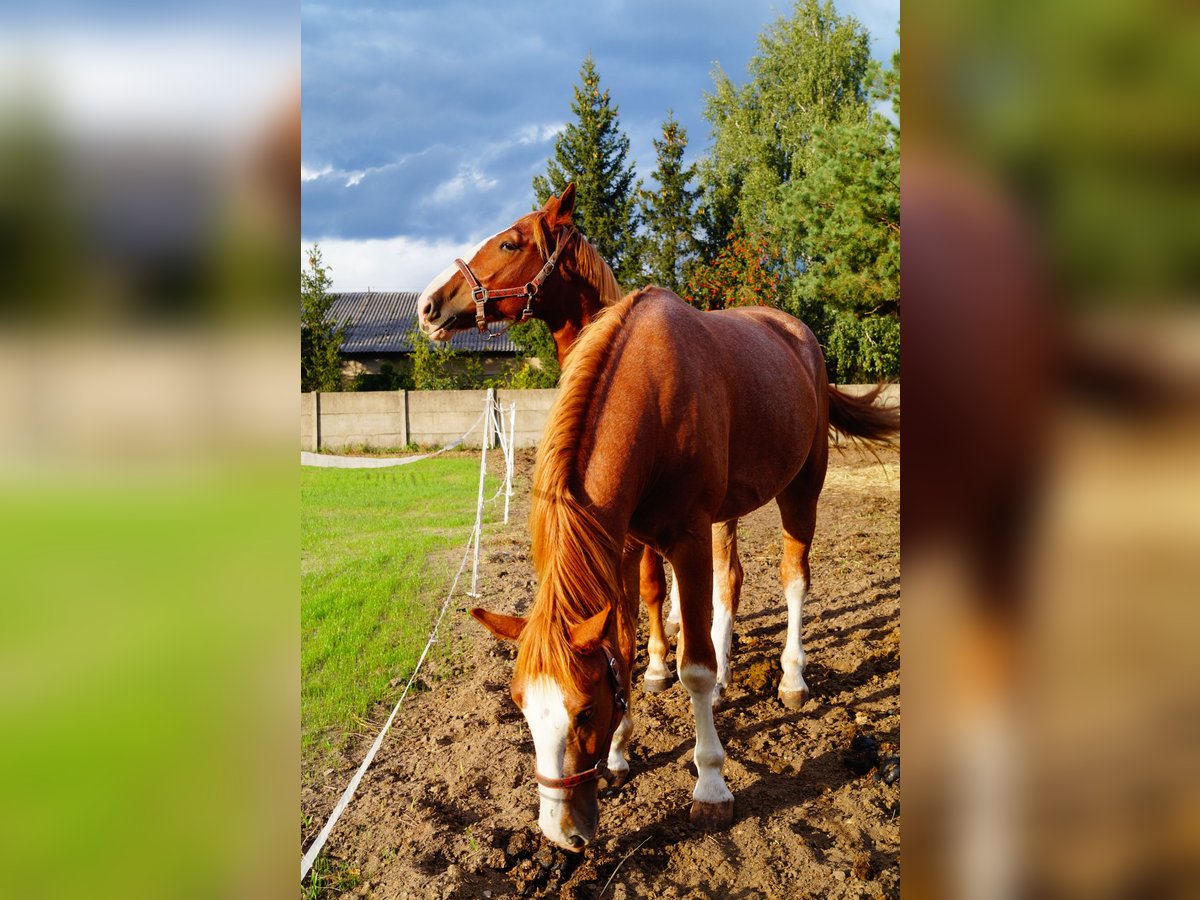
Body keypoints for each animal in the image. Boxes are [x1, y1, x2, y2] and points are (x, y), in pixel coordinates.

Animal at [468, 290, 902, 854]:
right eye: (520, 705)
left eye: (584, 711)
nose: (563, 833)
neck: (651, 394)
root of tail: (801, 338)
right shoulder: (627, 547)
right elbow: (624, 649)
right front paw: (620, 753)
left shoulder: (689, 539)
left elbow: (693, 667)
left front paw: (711, 786)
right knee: (730, 583)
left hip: (802, 488)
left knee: (794, 579)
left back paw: (791, 677)